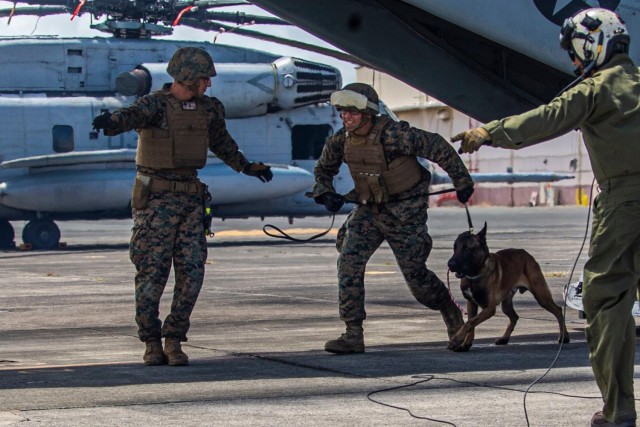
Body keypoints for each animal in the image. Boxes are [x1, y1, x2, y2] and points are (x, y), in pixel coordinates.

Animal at [444, 222, 568, 352]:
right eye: (455, 247)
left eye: (466, 248)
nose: (450, 264)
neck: (474, 275)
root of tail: (527, 254)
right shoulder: (471, 303)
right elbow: (470, 324)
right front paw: (465, 344)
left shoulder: (489, 308)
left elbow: (470, 323)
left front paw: (456, 340)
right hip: (507, 303)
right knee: (514, 317)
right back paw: (504, 338)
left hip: (541, 295)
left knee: (558, 310)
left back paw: (564, 337)